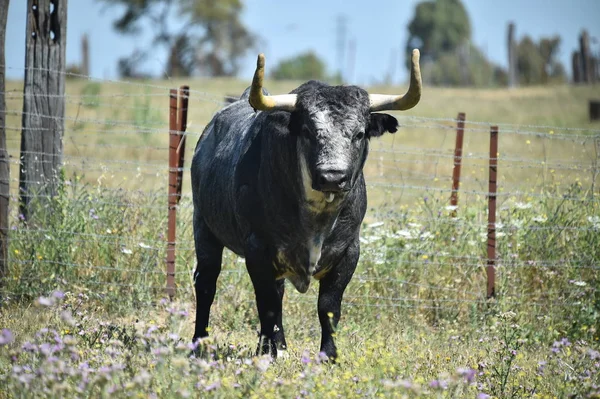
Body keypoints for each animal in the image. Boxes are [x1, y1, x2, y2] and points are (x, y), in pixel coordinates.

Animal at [191, 48, 422, 360]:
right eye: (308, 131)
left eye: (359, 133)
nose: (332, 176)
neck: (317, 217)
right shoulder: (257, 248)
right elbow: (266, 304)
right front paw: (267, 354)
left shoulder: (349, 251)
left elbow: (328, 307)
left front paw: (328, 355)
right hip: (204, 226)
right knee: (207, 284)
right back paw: (200, 342)